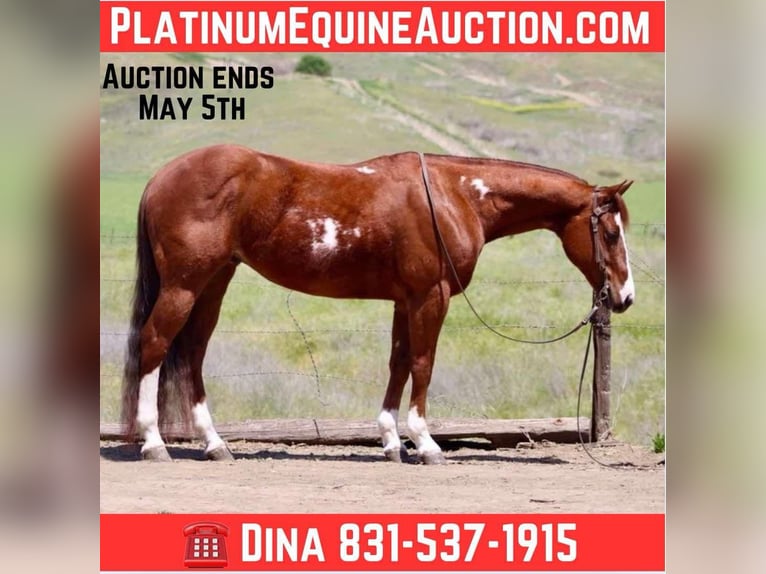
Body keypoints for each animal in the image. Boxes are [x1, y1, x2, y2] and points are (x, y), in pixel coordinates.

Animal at [121, 145, 634, 464]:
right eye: (611, 233)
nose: (625, 297)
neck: (453, 196)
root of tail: (162, 176)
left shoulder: (405, 301)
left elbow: (399, 363)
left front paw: (391, 441)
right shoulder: (430, 297)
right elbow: (423, 363)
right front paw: (425, 443)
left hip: (213, 282)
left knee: (191, 354)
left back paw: (215, 444)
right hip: (184, 285)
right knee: (155, 344)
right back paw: (153, 443)